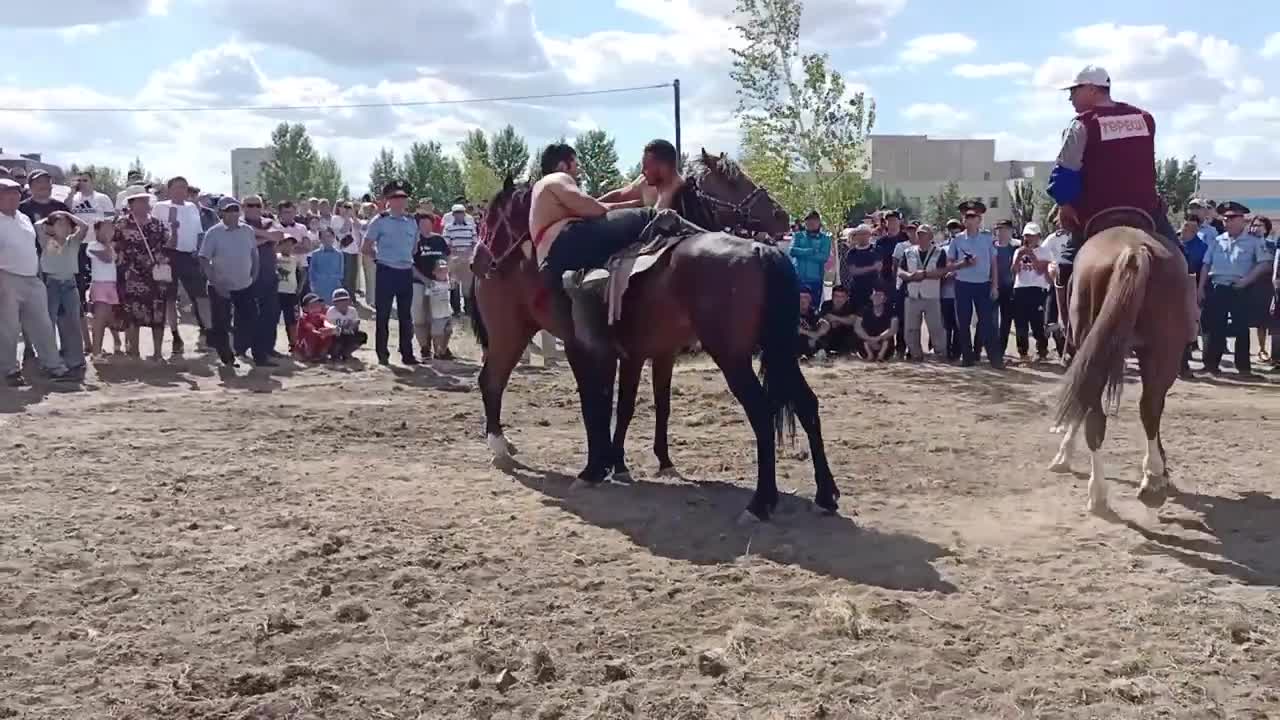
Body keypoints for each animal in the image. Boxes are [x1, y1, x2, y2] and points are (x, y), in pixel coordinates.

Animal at [471, 149, 839, 520]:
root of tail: (762, 251)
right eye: (735, 180)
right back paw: (824, 494)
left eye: (490, 217)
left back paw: (762, 502)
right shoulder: (642, 352)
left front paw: (600, 466)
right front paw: (620, 463)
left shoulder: (597, 350)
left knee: (766, 412)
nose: (478, 260)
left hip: (735, 356)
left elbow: (602, 403)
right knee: (805, 404)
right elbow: (630, 404)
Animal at [1044, 207, 1192, 509]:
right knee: (1150, 408)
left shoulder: (1081, 351)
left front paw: (1064, 455)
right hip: (1162, 352)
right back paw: (1153, 478)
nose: (1054, 218)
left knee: (1097, 415)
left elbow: (1079, 405)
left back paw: (1099, 491)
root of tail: (1134, 251)